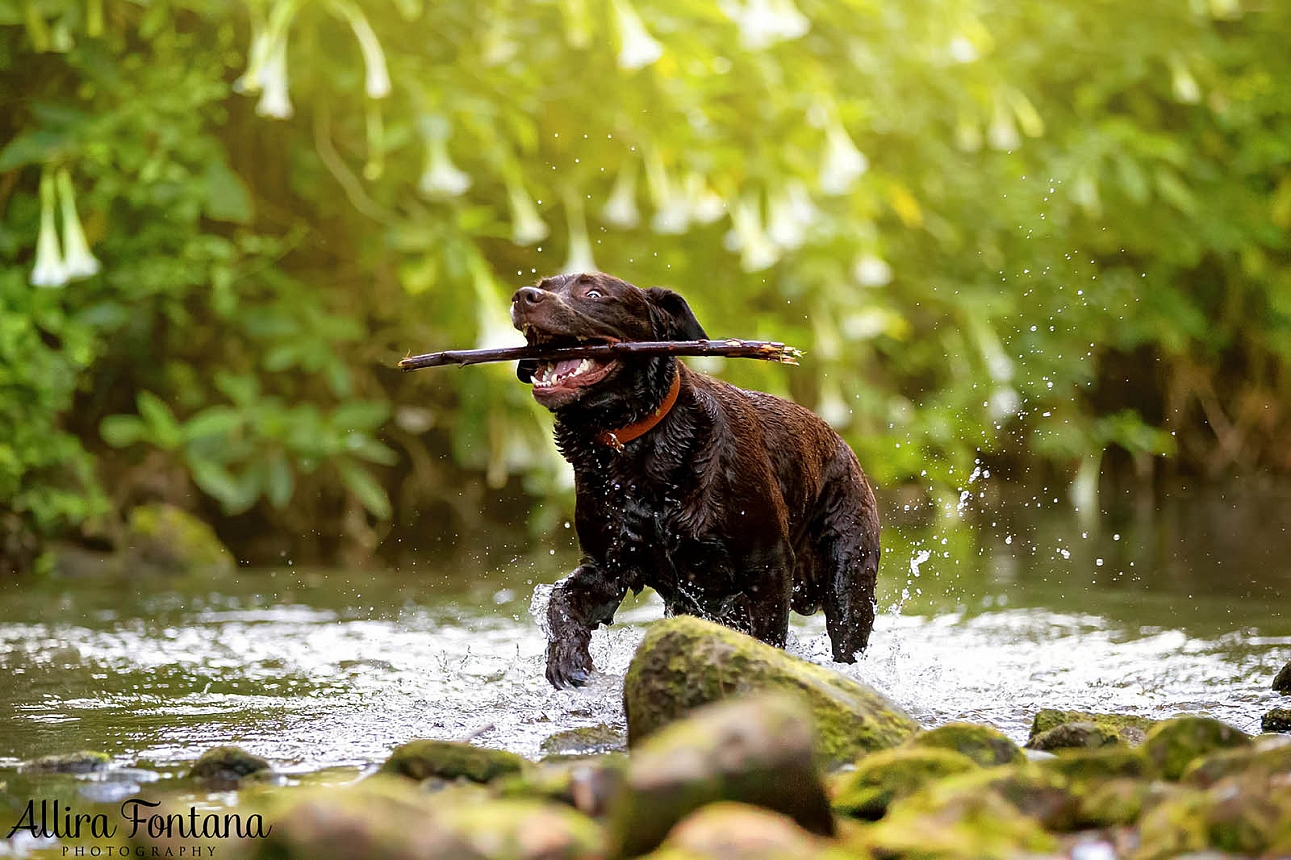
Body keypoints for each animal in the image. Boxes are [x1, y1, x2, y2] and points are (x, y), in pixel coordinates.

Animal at [508, 271, 883, 686]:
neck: (635, 449)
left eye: (593, 293)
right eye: (544, 284)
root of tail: (842, 443)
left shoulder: (767, 568)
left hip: (848, 575)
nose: (524, 296)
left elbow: (767, 638)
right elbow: (563, 601)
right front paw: (568, 659)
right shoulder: (608, 566)